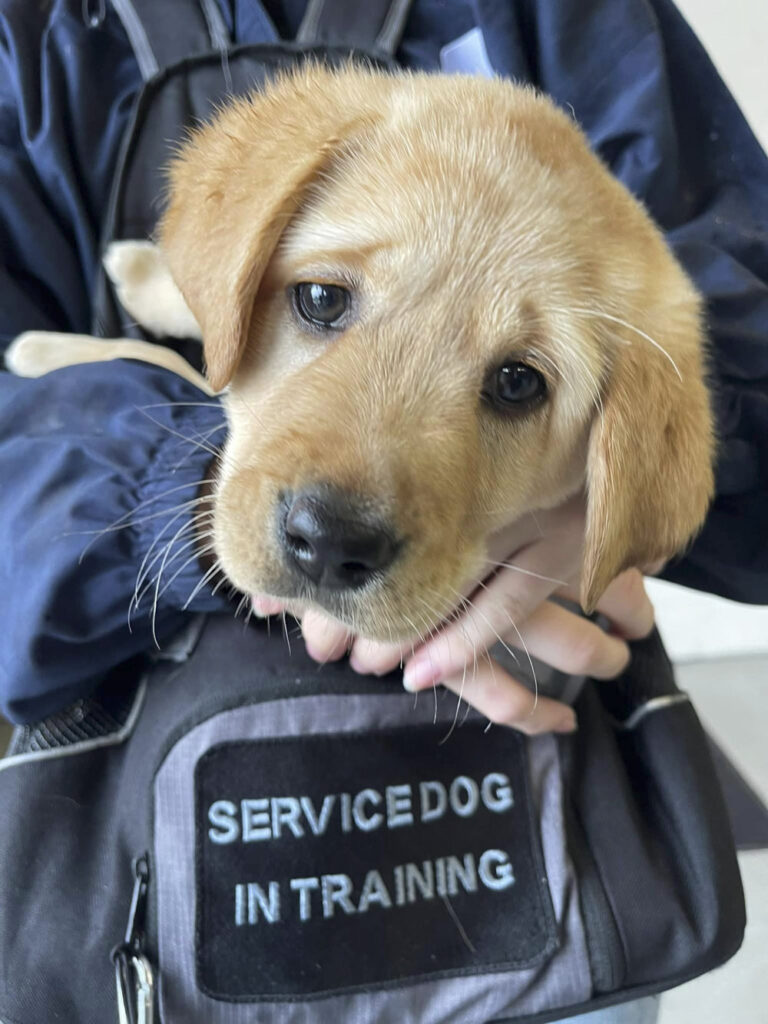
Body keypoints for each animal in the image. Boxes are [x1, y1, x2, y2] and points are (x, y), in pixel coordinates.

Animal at [7, 64, 716, 643]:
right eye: (321, 298)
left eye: (519, 383)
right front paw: (146, 272)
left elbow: (175, 365)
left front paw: (42, 349)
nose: (329, 543)